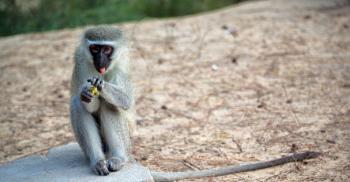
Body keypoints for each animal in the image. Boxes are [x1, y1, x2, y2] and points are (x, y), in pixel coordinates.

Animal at [69, 26, 318, 181]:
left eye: (107, 49)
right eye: (94, 49)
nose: (100, 61)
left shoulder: (121, 67)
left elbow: (125, 101)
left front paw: (101, 88)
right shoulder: (81, 63)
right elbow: (86, 103)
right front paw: (86, 93)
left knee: (110, 105)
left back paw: (118, 159)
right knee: (76, 105)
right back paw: (98, 162)